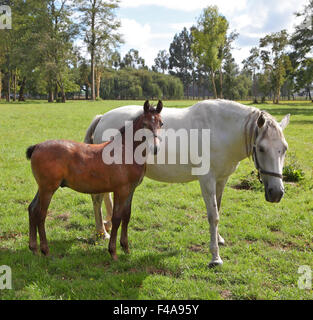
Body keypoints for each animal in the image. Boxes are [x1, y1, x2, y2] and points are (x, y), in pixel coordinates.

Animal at [26, 100, 163, 260]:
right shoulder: (120, 190)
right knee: (41, 214)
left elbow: (126, 216)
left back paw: (34, 249)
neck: (124, 151)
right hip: (48, 189)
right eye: (145, 124)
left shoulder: (130, 190)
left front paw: (126, 248)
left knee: (32, 209)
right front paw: (113, 252)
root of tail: (37, 147)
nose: (155, 148)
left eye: (161, 123)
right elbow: (117, 218)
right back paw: (45, 250)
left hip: (42, 188)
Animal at [84, 100, 288, 268]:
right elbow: (213, 216)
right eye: (261, 148)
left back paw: (106, 226)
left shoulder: (221, 179)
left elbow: (219, 209)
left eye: (284, 149)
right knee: (97, 199)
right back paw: (102, 232)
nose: (276, 193)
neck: (220, 130)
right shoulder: (207, 180)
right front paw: (215, 257)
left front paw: (219, 239)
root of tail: (103, 118)